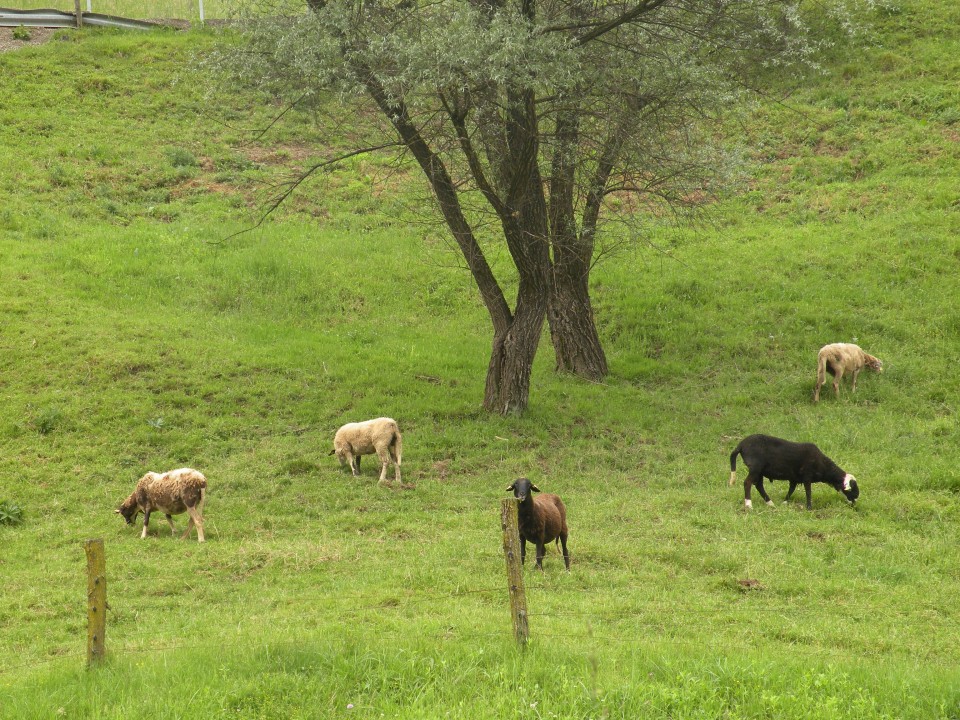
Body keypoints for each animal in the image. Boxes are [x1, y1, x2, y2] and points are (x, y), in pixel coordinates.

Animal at [732, 434, 860, 512]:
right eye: (852, 489)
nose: (855, 504)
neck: (823, 466)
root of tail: (741, 445)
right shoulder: (807, 476)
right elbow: (808, 492)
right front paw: (809, 508)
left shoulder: (794, 479)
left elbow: (791, 490)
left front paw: (784, 503)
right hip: (756, 467)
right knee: (747, 483)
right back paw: (749, 505)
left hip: (760, 471)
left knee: (759, 485)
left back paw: (770, 503)